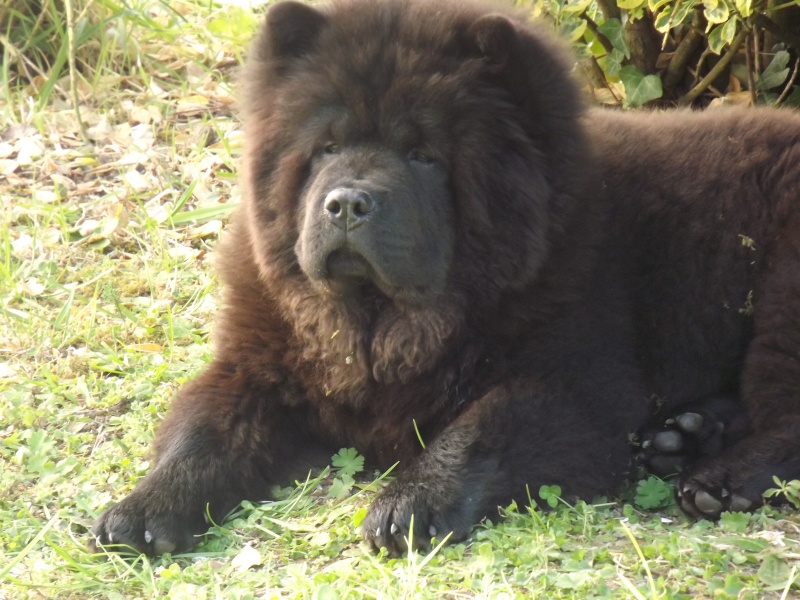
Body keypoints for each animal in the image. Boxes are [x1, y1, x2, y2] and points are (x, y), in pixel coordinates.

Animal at [90, 0, 800, 556]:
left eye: (423, 155)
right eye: (326, 147)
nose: (346, 203)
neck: (382, 321)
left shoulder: (575, 381)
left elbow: (480, 428)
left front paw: (408, 505)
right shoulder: (255, 363)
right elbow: (201, 434)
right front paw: (142, 510)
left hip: (781, 304)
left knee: (785, 417)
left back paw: (714, 480)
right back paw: (683, 436)